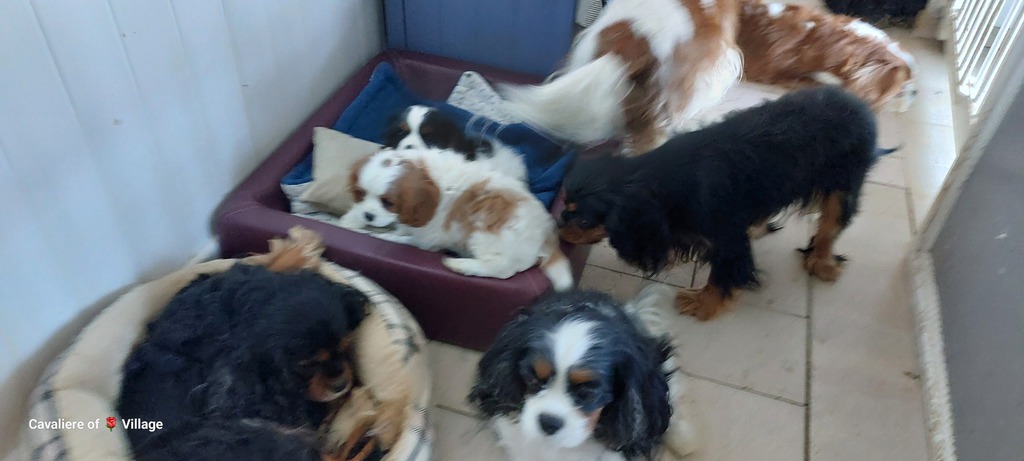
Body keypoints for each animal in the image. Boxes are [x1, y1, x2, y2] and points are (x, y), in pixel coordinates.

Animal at [338, 147, 573, 291]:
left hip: (484, 234)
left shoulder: (426, 238)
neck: (427, 176)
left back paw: (460, 265)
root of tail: (547, 231)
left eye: (387, 202)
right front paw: (353, 220)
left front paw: (378, 234)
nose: (368, 215)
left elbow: (401, 239)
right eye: (361, 193)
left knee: (502, 269)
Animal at [557, 86, 892, 320]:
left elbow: (722, 272)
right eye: (565, 206)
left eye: (583, 220)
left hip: (843, 184)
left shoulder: (725, 235)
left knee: (830, 226)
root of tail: (858, 103)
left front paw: (703, 303)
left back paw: (821, 262)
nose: (559, 228)